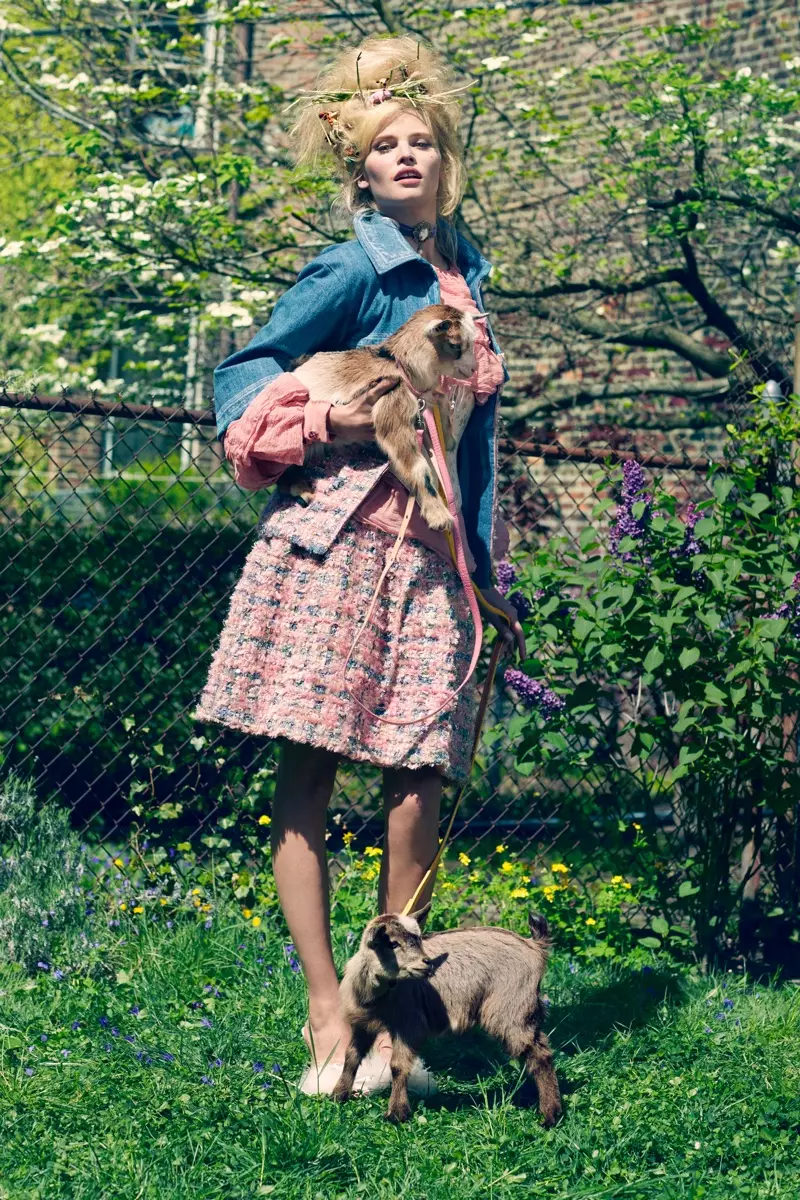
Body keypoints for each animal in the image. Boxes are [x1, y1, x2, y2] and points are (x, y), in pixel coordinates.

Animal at [333, 907, 563, 1123]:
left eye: (418, 940)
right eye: (393, 944)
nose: (427, 963)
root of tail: (535, 946)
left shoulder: (409, 1025)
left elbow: (398, 1066)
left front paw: (396, 1113)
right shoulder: (362, 1025)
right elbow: (351, 1056)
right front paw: (338, 1095)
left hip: (511, 1010)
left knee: (540, 1055)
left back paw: (550, 1115)